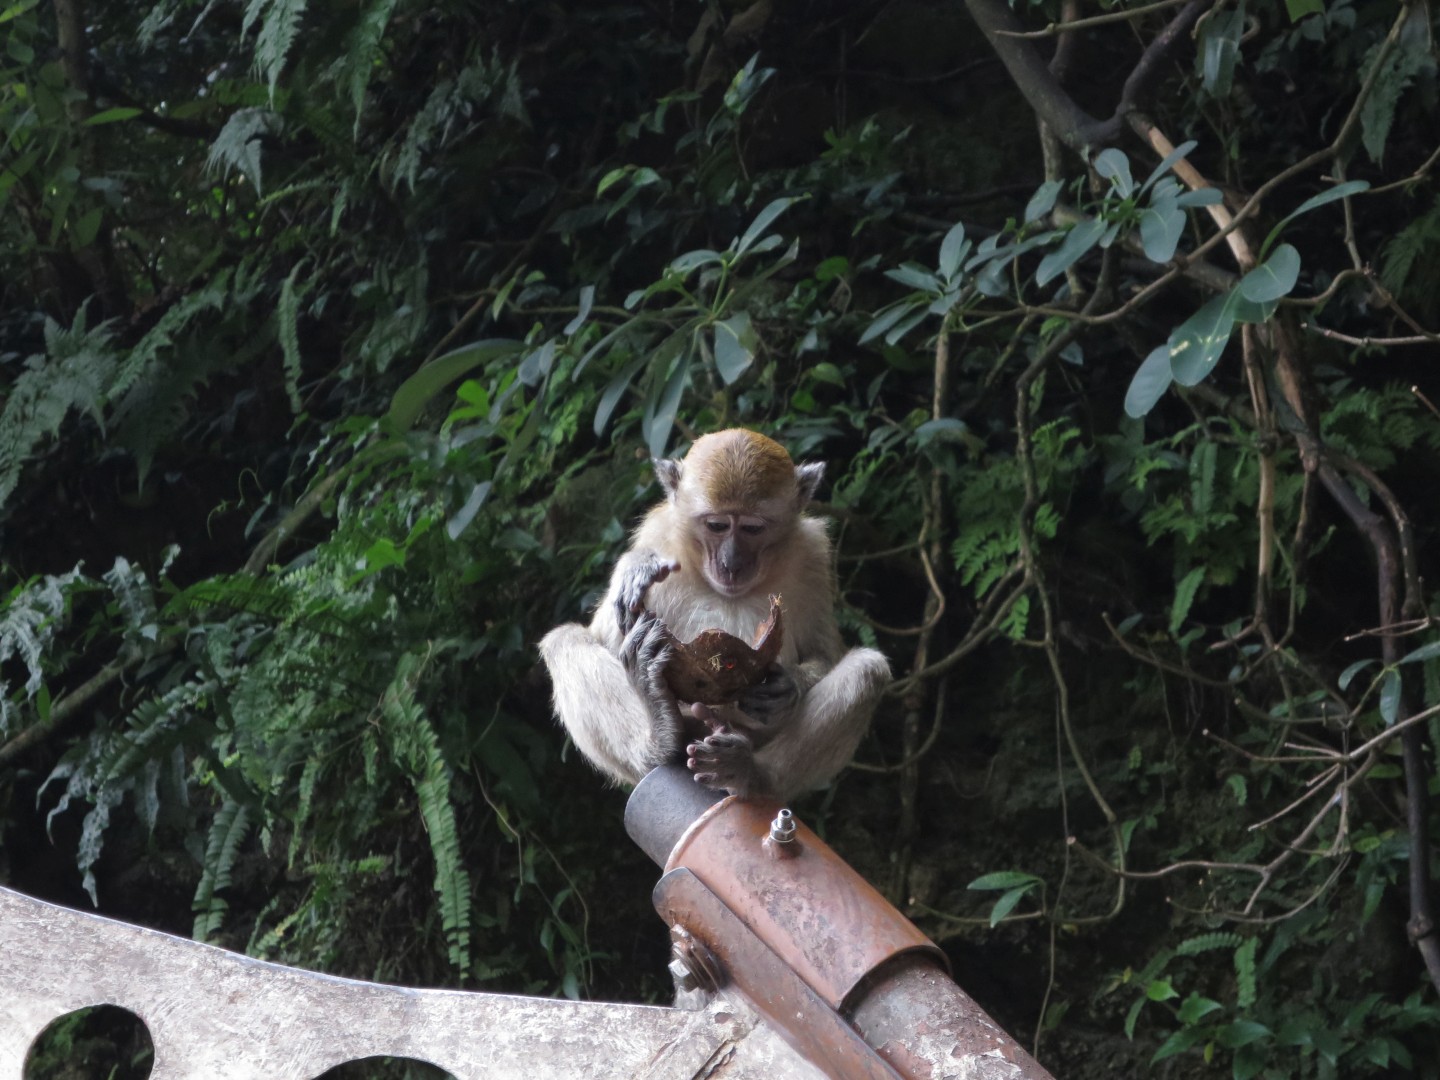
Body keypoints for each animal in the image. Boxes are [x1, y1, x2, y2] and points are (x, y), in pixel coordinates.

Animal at [539, 428, 891, 800]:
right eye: (717, 525)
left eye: (752, 528)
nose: (732, 563)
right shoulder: (658, 531)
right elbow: (603, 637)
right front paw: (637, 567)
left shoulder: (812, 555)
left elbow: (823, 654)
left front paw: (786, 687)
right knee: (564, 642)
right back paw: (658, 738)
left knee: (869, 671)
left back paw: (750, 774)